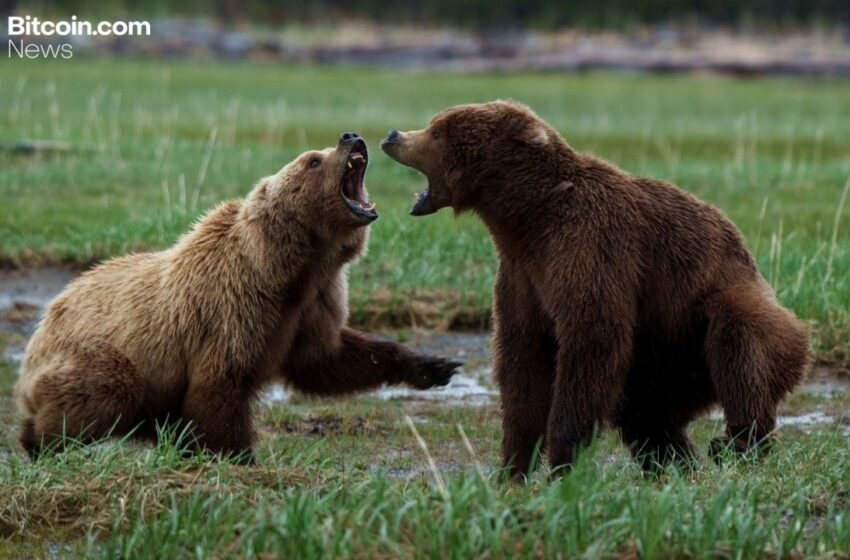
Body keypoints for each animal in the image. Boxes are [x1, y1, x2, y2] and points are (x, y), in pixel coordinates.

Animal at [15, 132, 461, 462]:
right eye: (312, 160)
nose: (350, 136)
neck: (292, 268)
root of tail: (44, 322)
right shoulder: (233, 306)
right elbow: (220, 387)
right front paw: (239, 457)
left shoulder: (314, 302)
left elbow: (327, 358)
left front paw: (434, 365)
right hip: (99, 354)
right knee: (105, 388)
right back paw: (40, 441)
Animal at [381, 101, 809, 478]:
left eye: (437, 131)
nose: (392, 135)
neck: (527, 218)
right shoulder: (523, 275)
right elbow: (522, 359)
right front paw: (512, 467)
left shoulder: (591, 249)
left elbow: (589, 343)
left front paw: (562, 460)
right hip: (663, 357)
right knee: (644, 411)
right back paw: (677, 463)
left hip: (715, 312)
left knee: (739, 345)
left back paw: (737, 443)